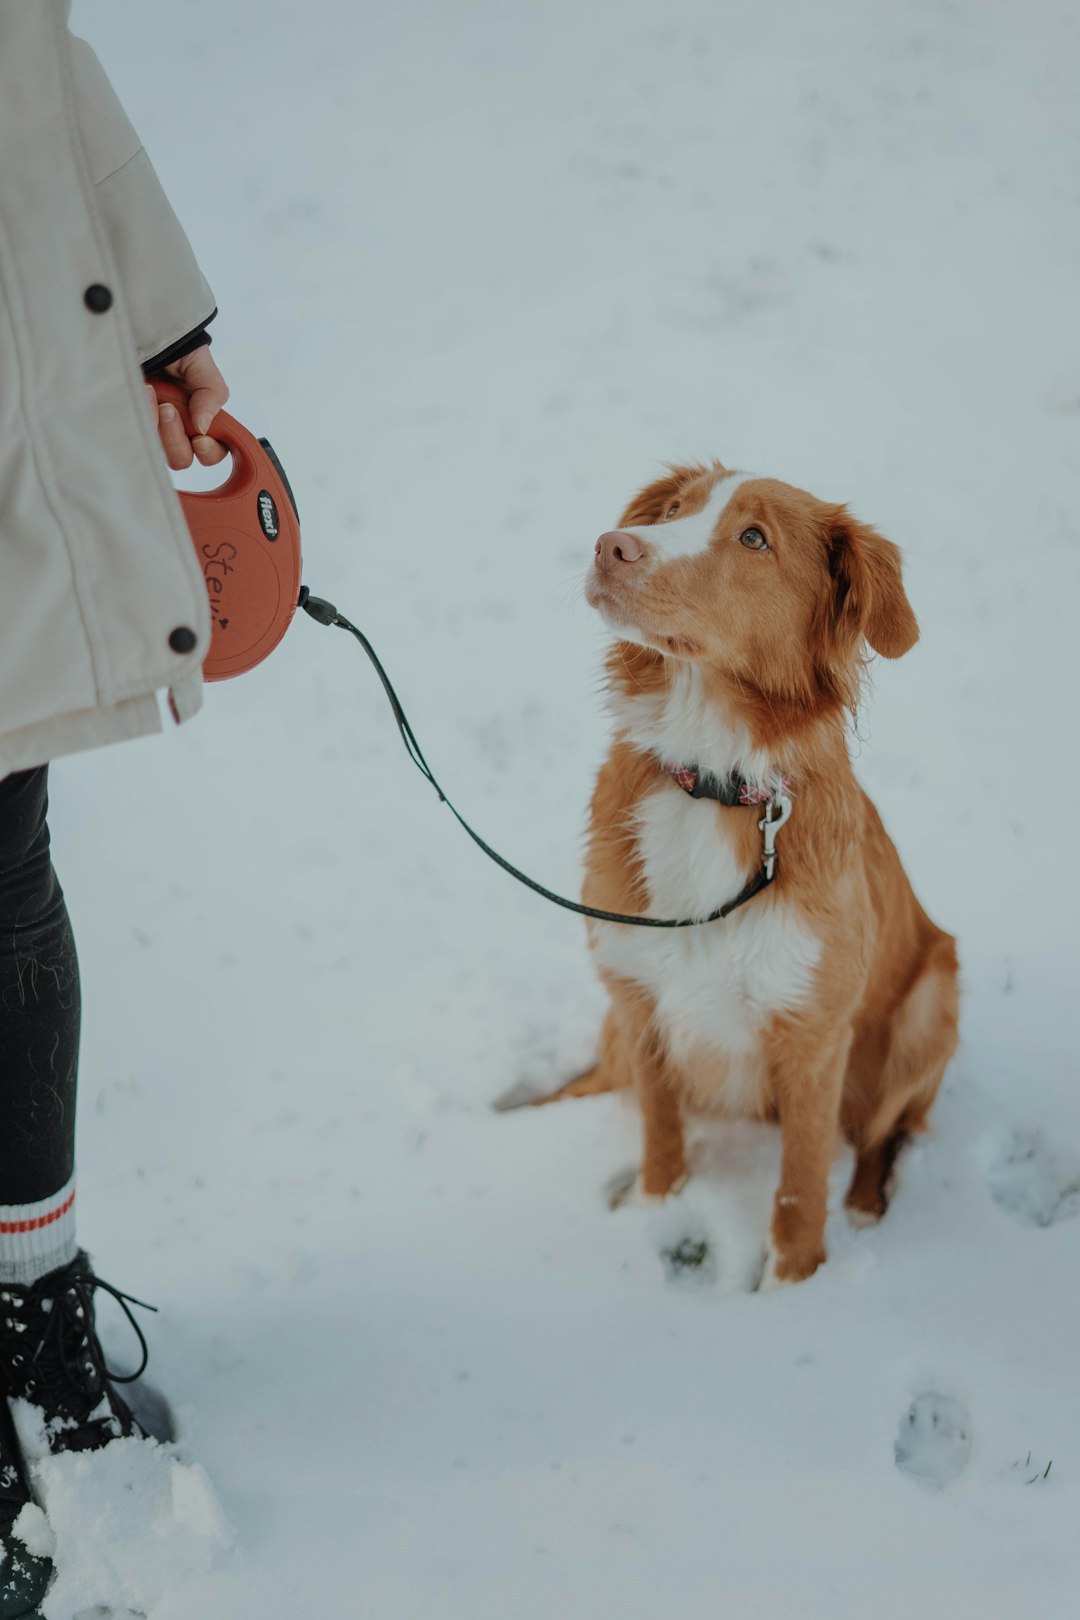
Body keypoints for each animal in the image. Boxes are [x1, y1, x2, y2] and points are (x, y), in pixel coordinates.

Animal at [563, 463, 958, 1283]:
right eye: (672, 512)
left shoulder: (813, 1034)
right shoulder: (637, 996)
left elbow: (801, 1180)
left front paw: (793, 1281)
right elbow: (661, 1135)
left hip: (934, 997)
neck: (712, 778)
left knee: (884, 1132)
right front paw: (656, 1206)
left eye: (753, 538)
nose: (611, 545)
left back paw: (868, 1204)